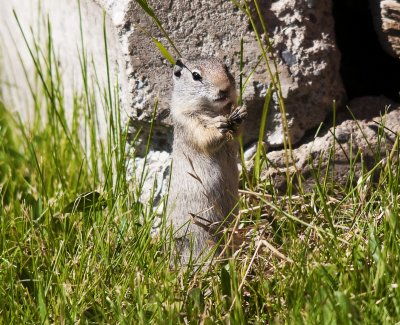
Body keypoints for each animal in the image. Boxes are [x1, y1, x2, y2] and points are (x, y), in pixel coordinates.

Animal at [166, 56, 247, 264]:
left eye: (226, 68)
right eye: (196, 75)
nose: (225, 88)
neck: (212, 110)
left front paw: (239, 114)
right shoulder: (189, 122)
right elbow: (205, 136)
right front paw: (220, 125)